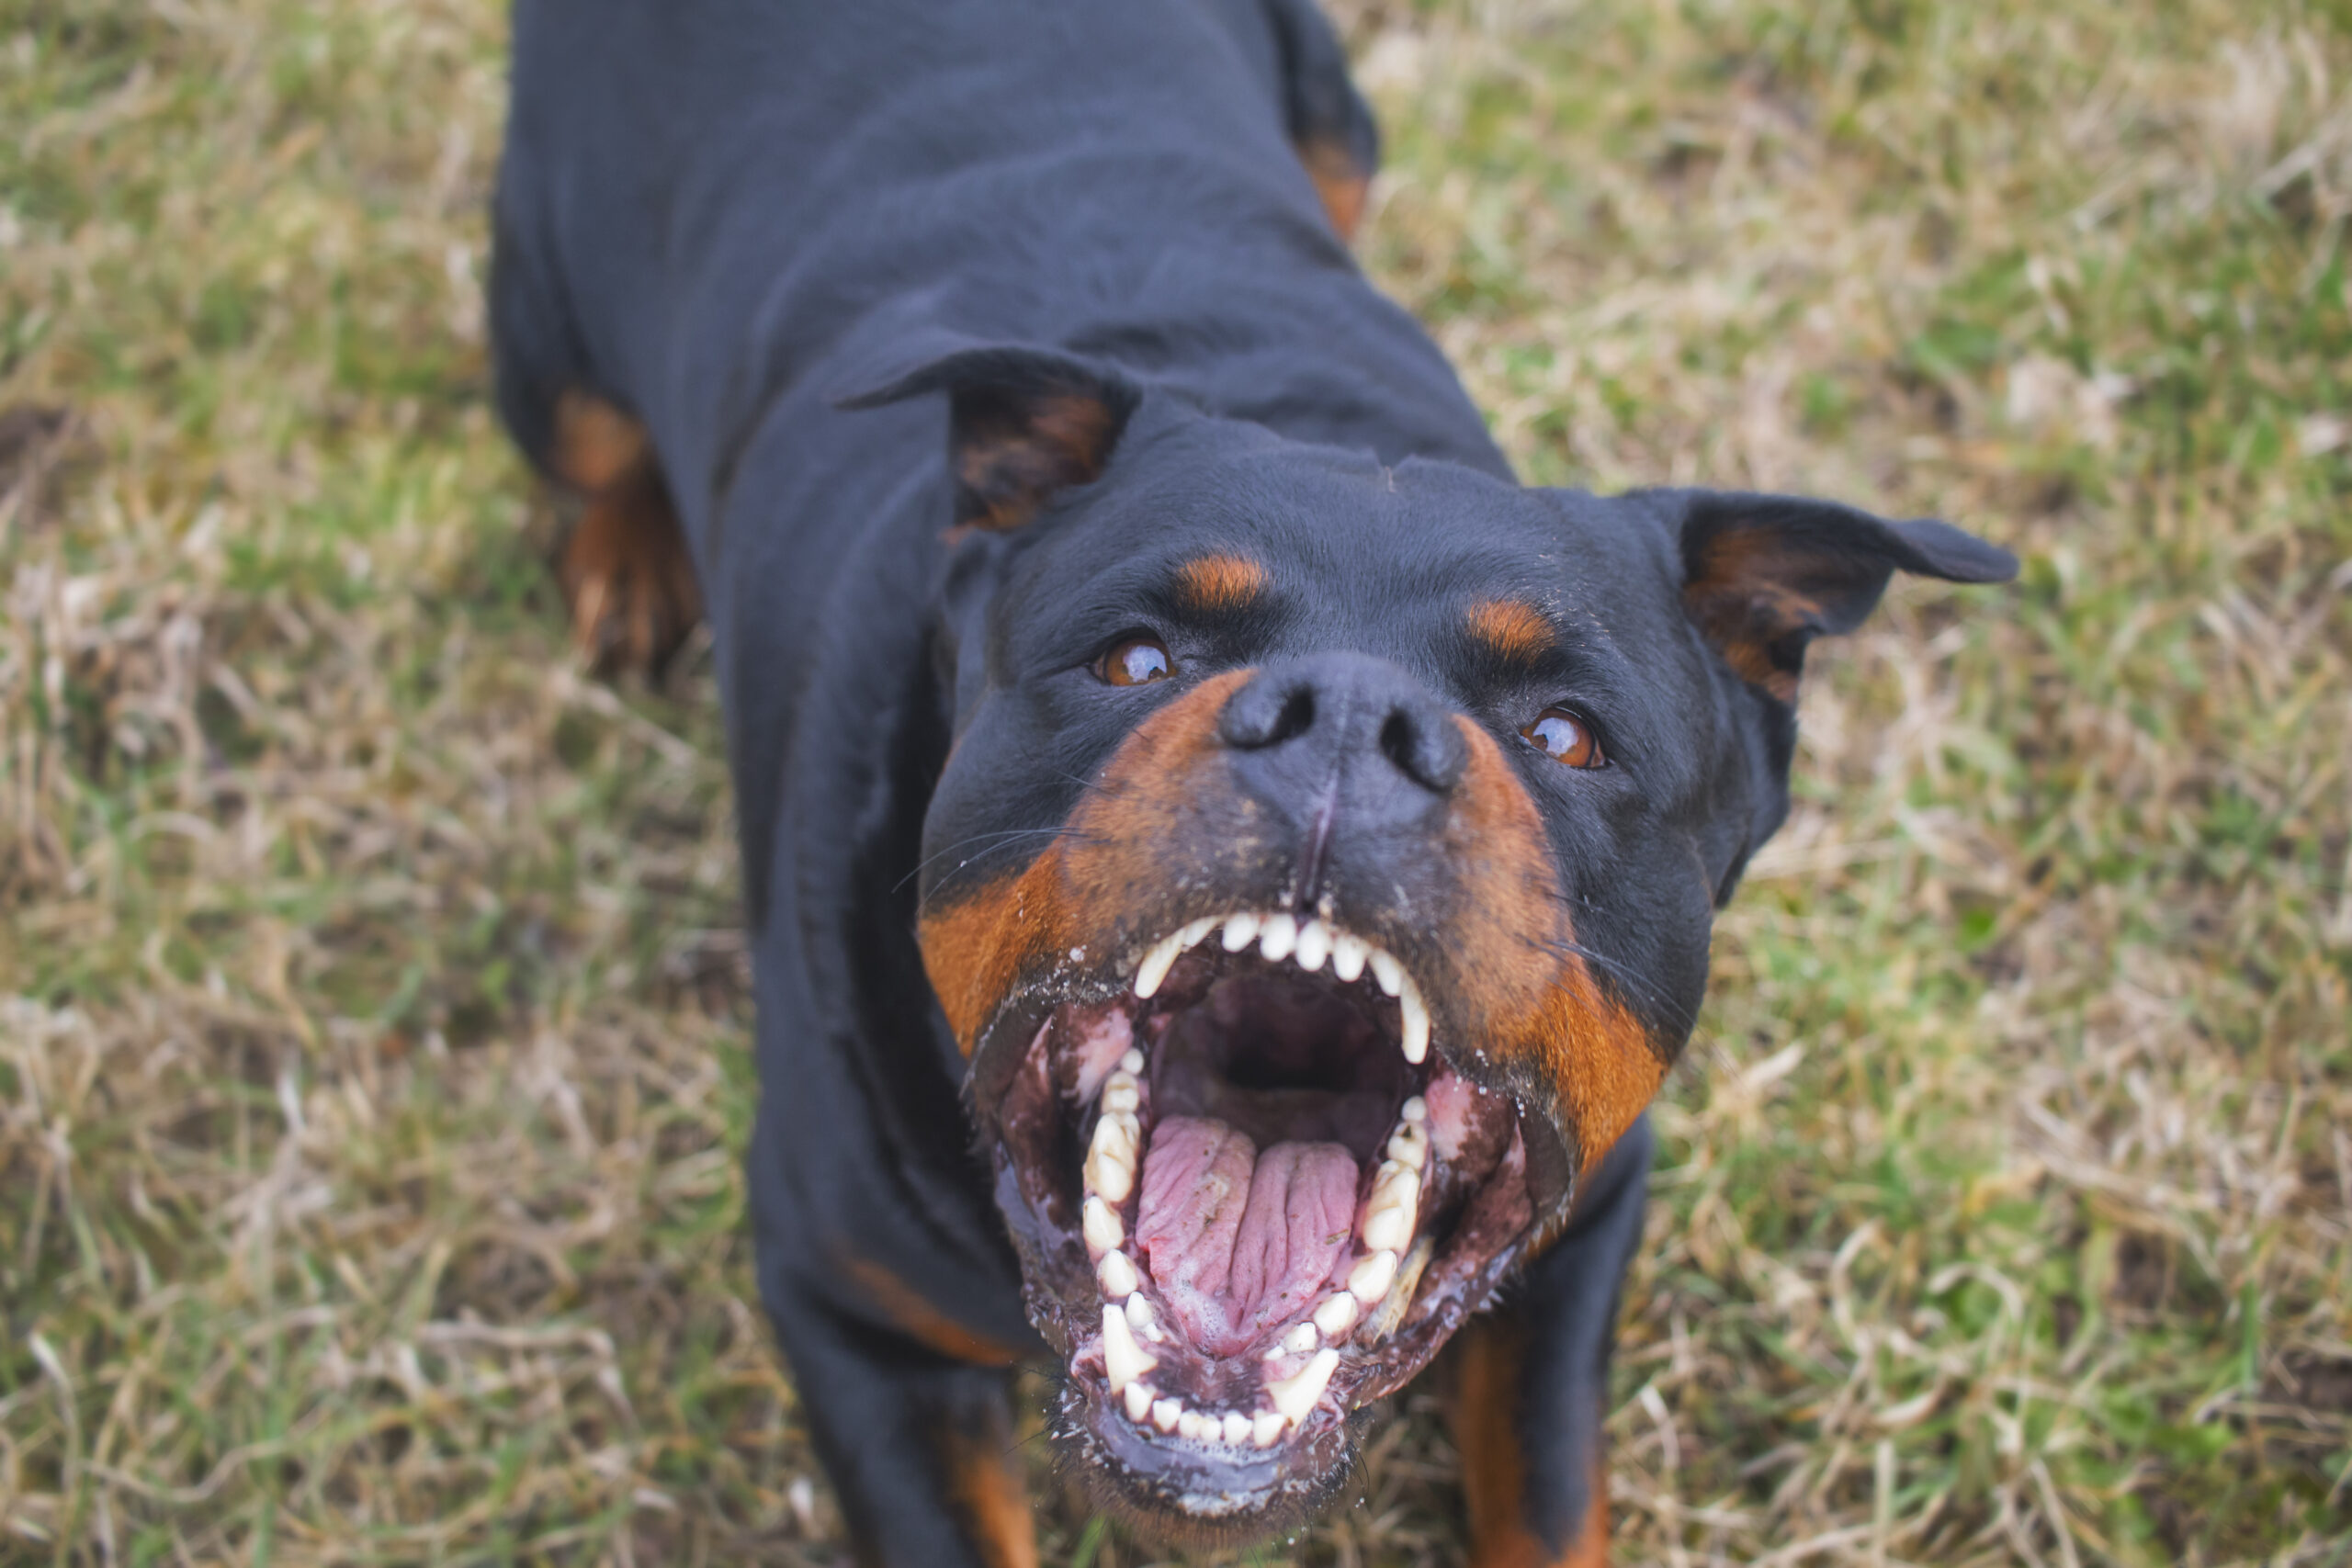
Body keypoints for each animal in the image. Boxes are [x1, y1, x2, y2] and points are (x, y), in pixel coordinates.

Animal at [486, 0, 2013, 1561]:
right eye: (1136, 655)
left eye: (1568, 735)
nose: (1346, 716)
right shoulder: (849, 1303)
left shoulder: (1586, 1226)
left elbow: (1551, 1501)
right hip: (549, 348)